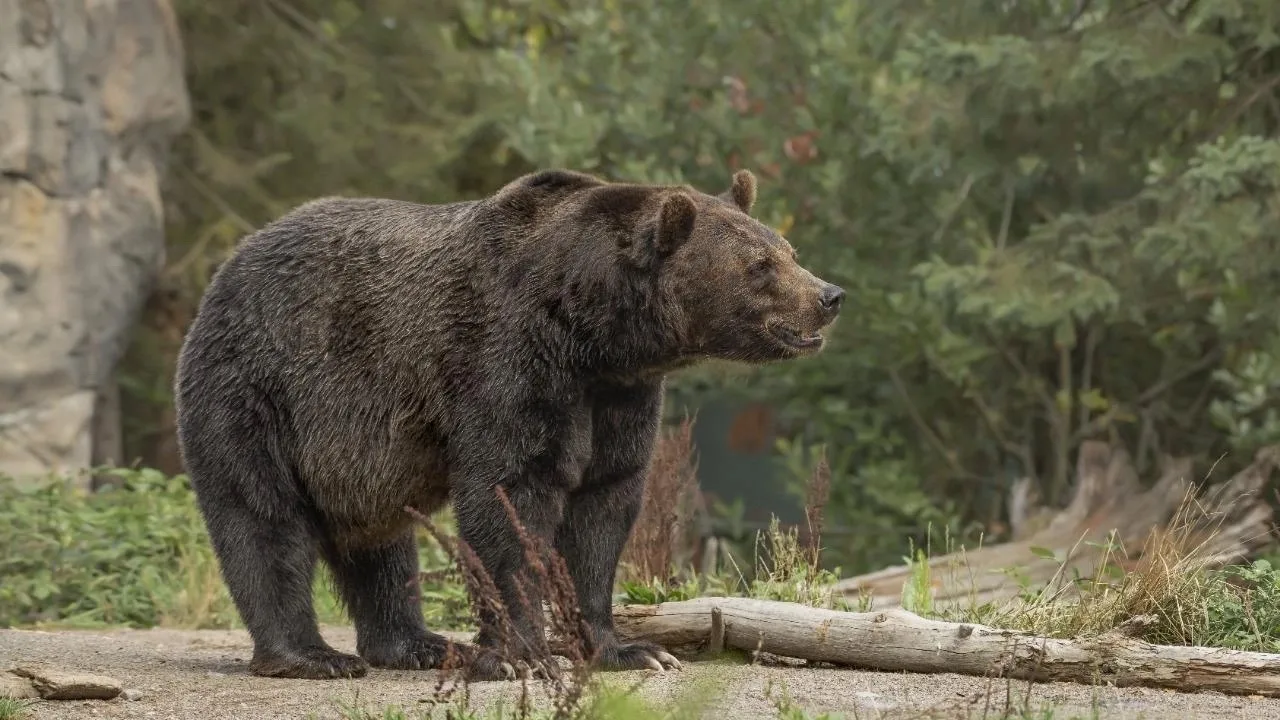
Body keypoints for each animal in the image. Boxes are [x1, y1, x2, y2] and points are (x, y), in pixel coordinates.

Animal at [172, 167, 845, 681]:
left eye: (788, 252)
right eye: (760, 265)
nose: (829, 295)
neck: (592, 331)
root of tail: (228, 266)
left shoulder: (618, 397)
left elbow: (603, 508)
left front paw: (629, 649)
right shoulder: (509, 361)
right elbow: (509, 497)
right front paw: (523, 655)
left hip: (355, 454)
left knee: (380, 543)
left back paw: (418, 644)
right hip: (259, 388)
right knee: (262, 517)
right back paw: (311, 657)